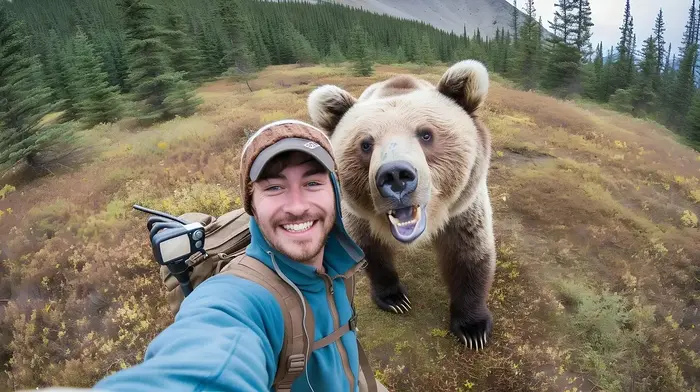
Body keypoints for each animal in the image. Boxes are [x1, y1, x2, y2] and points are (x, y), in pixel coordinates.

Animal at [308, 59, 498, 350]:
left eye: (426, 134)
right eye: (366, 143)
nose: (396, 176)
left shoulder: (464, 210)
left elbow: (469, 253)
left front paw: (473, 328)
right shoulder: (359, 217)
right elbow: (371, 251)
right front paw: (395, 298)